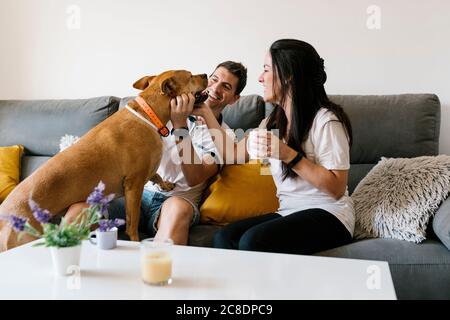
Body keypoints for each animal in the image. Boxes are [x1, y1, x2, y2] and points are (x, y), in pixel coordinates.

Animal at [0, 70, 207, 252]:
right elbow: (132, 222)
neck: (148, 113)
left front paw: (165, 184)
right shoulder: (134, 184)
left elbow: (156, 175)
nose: (205, 75)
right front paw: (135, 241)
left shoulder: (144, 172)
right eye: (190, 76)